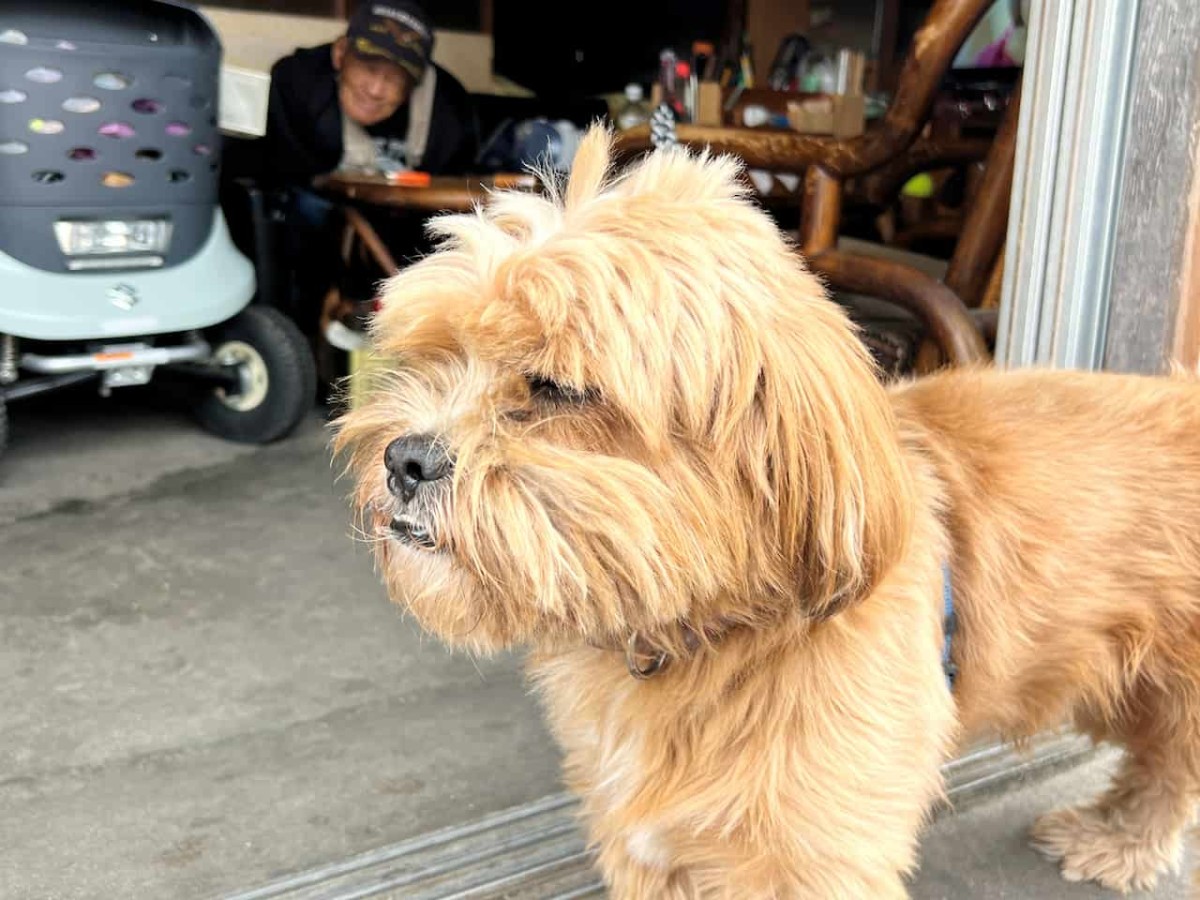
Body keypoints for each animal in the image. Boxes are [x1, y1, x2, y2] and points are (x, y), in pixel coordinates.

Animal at [333, 128, 1200, 900]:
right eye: (439, 356)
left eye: (557, 388)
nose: (403, 459)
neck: (703, 635)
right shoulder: (645, 845)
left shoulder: (815, 855)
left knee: (1169, 768)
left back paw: (1122, 840)